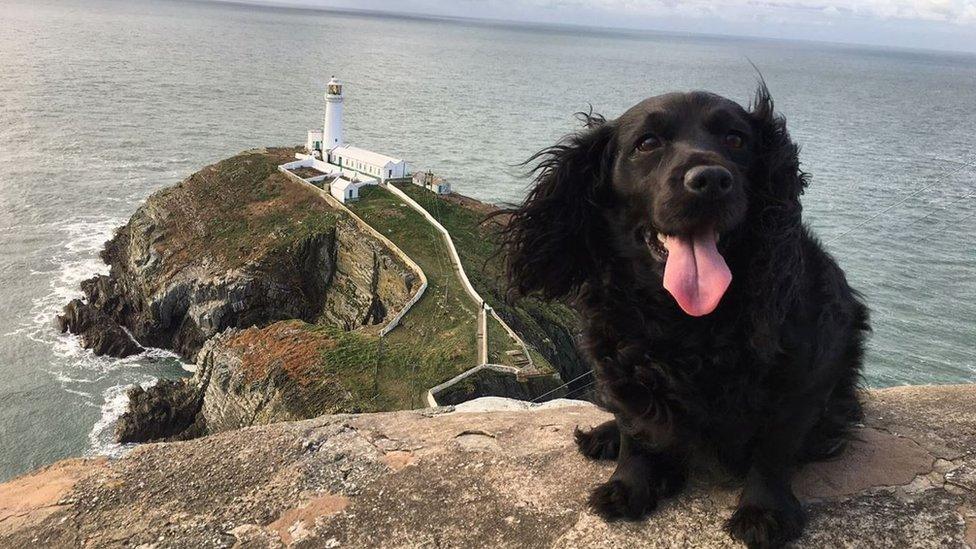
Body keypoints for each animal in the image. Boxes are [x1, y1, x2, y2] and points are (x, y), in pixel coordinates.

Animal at [504, 83, 868, 544]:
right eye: (647, 143)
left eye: (735, 139)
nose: (710, 180)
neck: (686, 317)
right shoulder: (621, 363)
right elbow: (634, 428)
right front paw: (629, 485)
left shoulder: (802, 375)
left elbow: (774, 445)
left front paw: (763, 510)